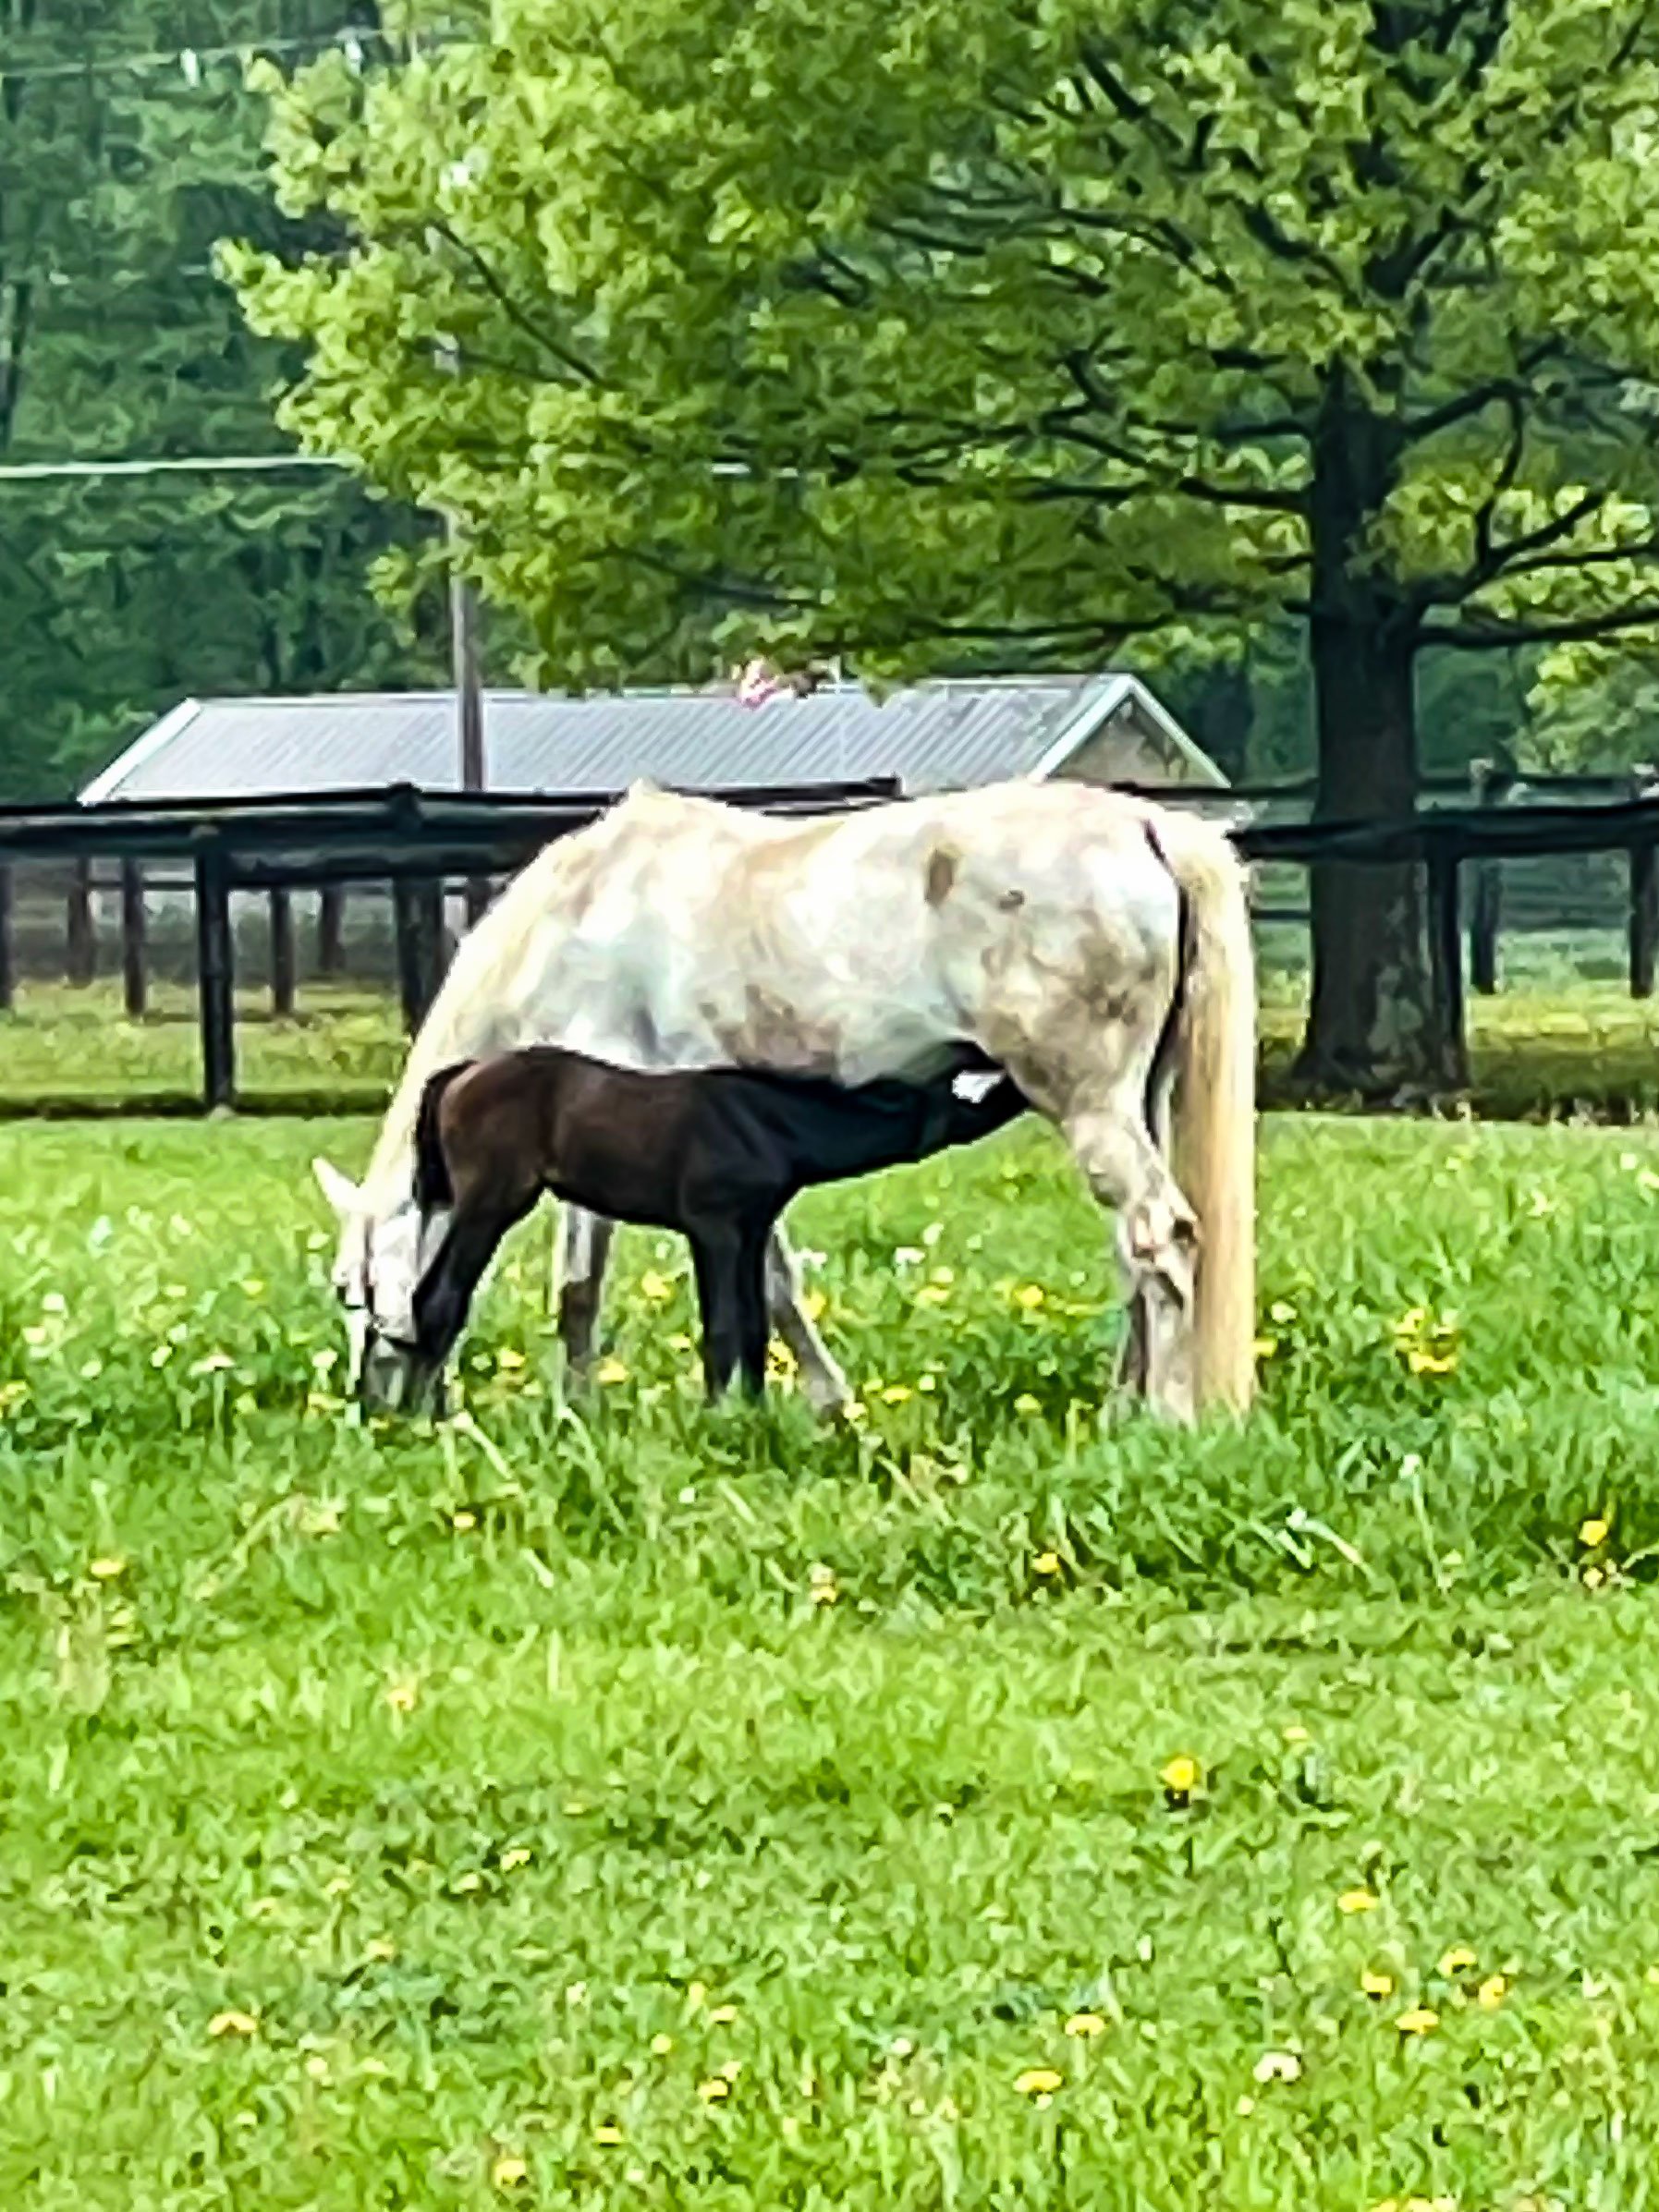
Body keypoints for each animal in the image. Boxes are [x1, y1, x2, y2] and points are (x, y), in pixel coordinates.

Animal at [372, 1042, 1029, 1412]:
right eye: (974, 1093)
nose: (1019, 1086)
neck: (767, 1123)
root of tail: (456, 1076)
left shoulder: (750, 1228)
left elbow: (755, 1327)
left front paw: (757, 1415)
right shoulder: (712, 1228)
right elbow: (722, 1328)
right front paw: (715, 1418)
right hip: (489, 1204)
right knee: (439, 1301)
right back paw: (423, 1416)